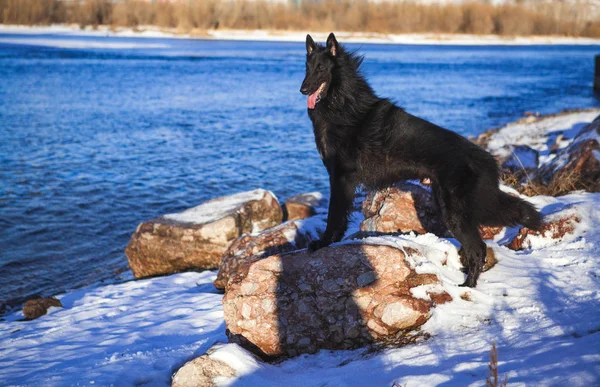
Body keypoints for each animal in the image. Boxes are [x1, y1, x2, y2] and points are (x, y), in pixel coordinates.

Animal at [300, 33, 544, 288]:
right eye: (307, 68)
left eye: (321, 68)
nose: (303, 89)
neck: (342, 104)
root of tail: (489, 161)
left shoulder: (340, 179)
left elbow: (334, 215)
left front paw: (324, 242)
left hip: (456, 214)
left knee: (478, 248)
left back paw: (467, 286)